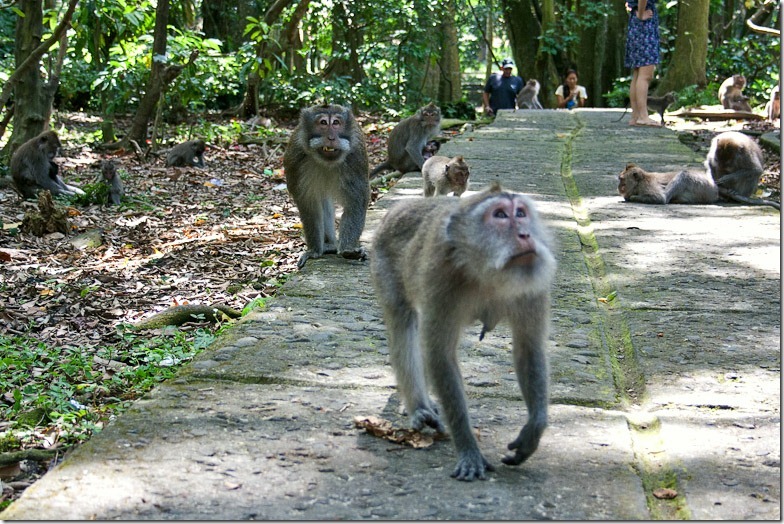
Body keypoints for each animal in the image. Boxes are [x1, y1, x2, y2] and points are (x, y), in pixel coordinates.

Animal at [284, 103, 370, 268]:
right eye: (323, 123)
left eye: (336, 123)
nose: (331, 137)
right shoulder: (295, 158)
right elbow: (309, 205)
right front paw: (314, 251)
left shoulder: (356, 157)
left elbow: (355, 202)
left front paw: (348, 249)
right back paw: (328, 245)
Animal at [370, 182, 556, 482]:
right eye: (500, 215)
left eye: (521, 213)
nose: (525, 234)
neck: (485, 270)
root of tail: (399, 207)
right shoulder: (441, 278)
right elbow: (440, 356)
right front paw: (468, 447)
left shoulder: (532, 284)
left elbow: (529, 349)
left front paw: (534, 429)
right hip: (382, 260)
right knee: (403, 322)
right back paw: (418, 407)